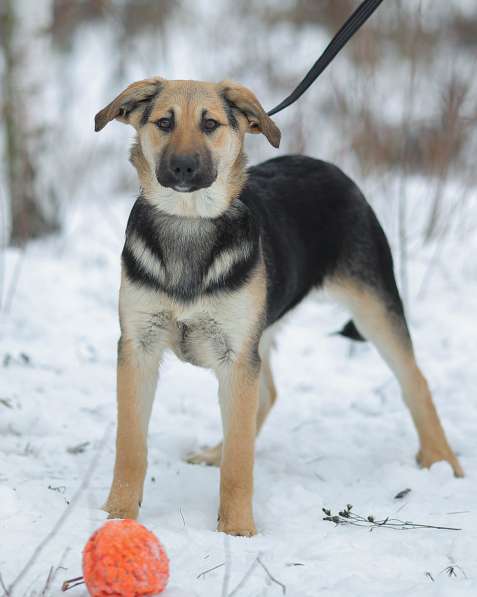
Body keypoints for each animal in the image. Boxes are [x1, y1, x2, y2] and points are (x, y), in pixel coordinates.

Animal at [95, 75, 462, 536]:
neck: (190, 222)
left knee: (415, 380)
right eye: (164, 122)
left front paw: (236, 530)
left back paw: (442, 462)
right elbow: (130, 445)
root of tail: (327, 165)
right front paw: (116, 514)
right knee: (266, 395)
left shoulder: (236, 356)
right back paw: (214, 451)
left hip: (372, 306)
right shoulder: (138, 346)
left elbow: (240, 462)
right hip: (263, 330)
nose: (182, 168)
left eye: (210, 124)